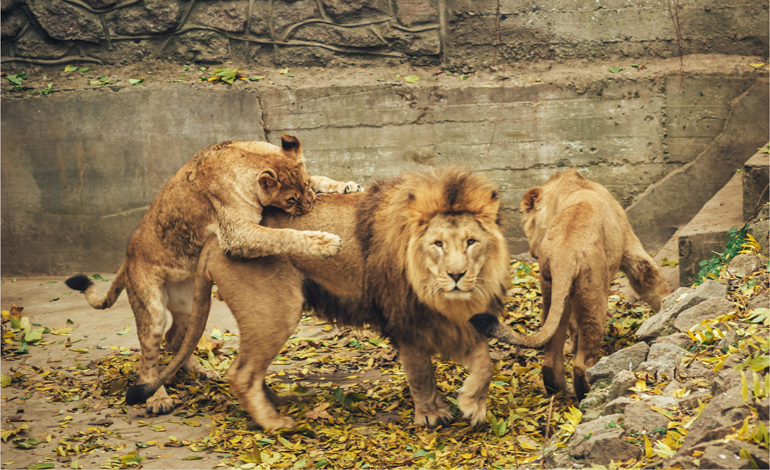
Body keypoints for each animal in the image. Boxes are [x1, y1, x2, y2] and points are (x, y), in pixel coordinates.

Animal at [65, 135, 361, 415]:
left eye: (307, 186)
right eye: (291, 199)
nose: (310, 205)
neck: (244, 157)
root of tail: (127, 257)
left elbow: (322, 178)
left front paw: (346, 185)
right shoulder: (237, 235)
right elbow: (283, 235)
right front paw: (325, 243)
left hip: (192, 303)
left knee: (176, 339)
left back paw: (202, 371)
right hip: (152, 309)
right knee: (148, 361)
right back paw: (158, 398)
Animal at [125, 168, 511, 430]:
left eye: (471, 242)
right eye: (438, 244)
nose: (457, 275)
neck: (443, 297)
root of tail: (217, 237)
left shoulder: (457, 321)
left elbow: (485, 362)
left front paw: (472, 405)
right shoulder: (406, 322)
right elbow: (421, 373)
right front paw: (432, 414)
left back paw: (275, 402)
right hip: (276, 309)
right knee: (241, 372)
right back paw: (274, 423)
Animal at [470, 170, 670, 401]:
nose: (531, 251)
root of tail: (565, 251)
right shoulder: (631, 249)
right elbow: (651, 281)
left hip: (553, 290)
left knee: (550, 354)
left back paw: (558, 389)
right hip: (594, 294)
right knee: (582, 363)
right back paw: (588, 392)